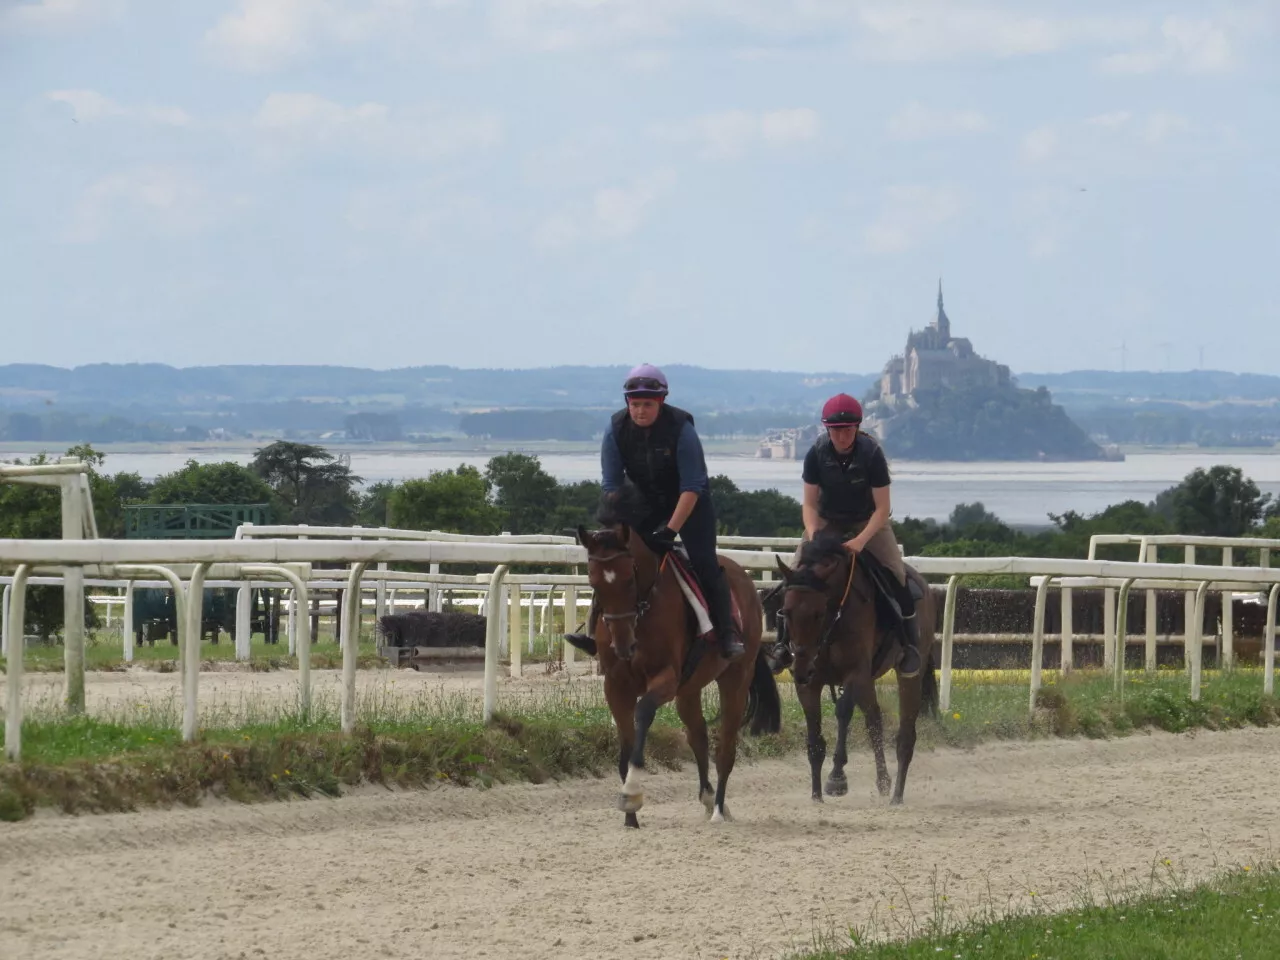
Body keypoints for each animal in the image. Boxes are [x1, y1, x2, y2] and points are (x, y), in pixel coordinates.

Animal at [578, 488, 778, 829]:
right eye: (593, 582)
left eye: (629, 579)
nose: (623, 646)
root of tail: (746, 580)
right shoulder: (616, 684)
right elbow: (626, 742)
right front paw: (630, 818)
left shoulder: (666, 679)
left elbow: (643, 713)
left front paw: (632, 792)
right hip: (690, 687)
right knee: (698, 734)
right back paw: (708, 798)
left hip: (735, 677)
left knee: (725, 745)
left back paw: (719, 808)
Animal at [768, 529, 942, 808]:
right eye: (785, 611)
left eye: (819, 613)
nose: (802, 667)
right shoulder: (808, 683)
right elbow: (814, 730)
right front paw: (816, 794)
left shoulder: (854, 673)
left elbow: (842, 712)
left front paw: (836, 778)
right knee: (874, 720)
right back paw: (883, 782)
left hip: (907, 676)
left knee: (905, 734)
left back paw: (897, 795)